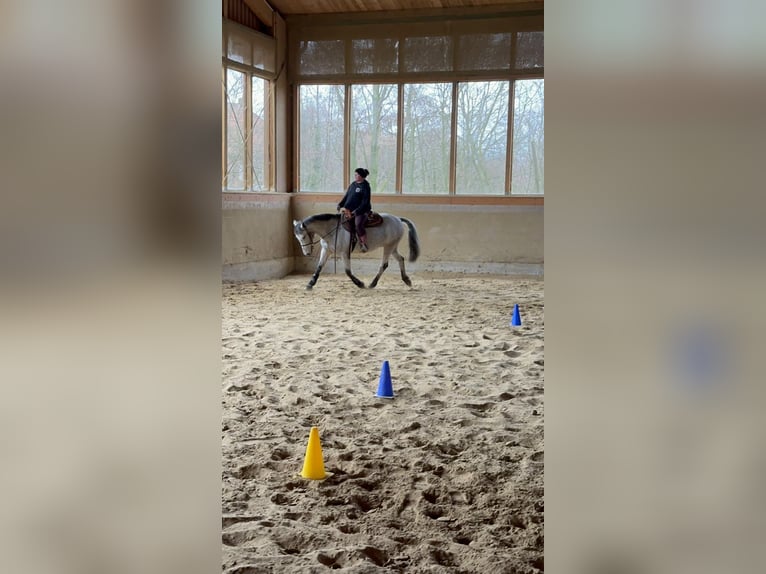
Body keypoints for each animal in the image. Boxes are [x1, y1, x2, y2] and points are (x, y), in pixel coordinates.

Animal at [294, 213, 424, 290]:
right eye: (297, 238)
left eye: (303, 237)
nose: (307, 253)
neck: (332, 230)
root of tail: (397, 219)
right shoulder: (326, 250)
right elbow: (319, 267)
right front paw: (310, 283)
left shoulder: (344, 253)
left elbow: (347, 271)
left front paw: (360, 284)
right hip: (392, 247)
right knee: (401, 259)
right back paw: (406, 280)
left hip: (388, 247)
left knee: (384, 265)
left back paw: (372, 284)